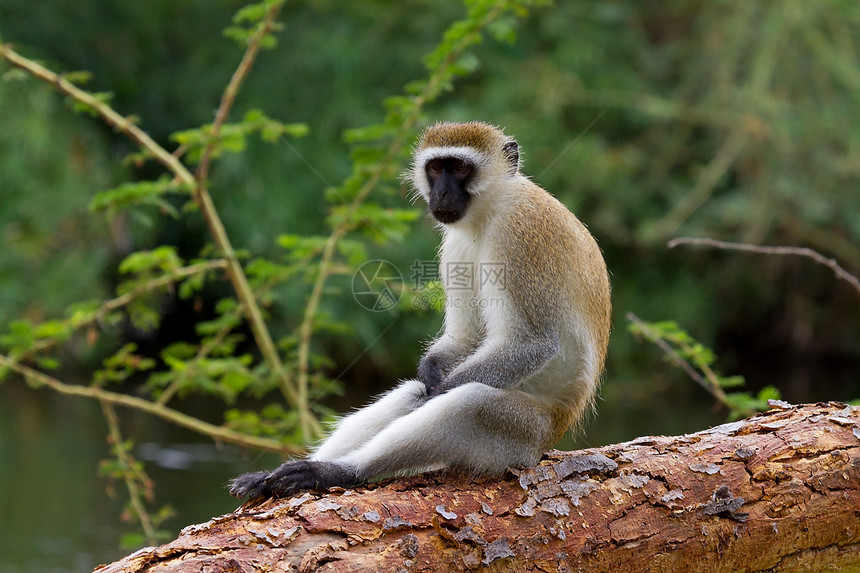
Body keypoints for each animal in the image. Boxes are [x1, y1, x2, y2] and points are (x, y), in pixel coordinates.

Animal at [227, 122, 604, 500]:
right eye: (436, 168)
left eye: (460, 168)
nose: (441, 193)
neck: (491, 210)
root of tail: (560, 423)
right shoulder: (455, 245)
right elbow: (466, 339)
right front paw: (431, 367)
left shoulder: (519, 234)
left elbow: (532, 343)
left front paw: (438, 391)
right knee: (414, 392)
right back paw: (275, 476)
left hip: (524, 434)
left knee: (468, 405)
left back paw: (339, 471)